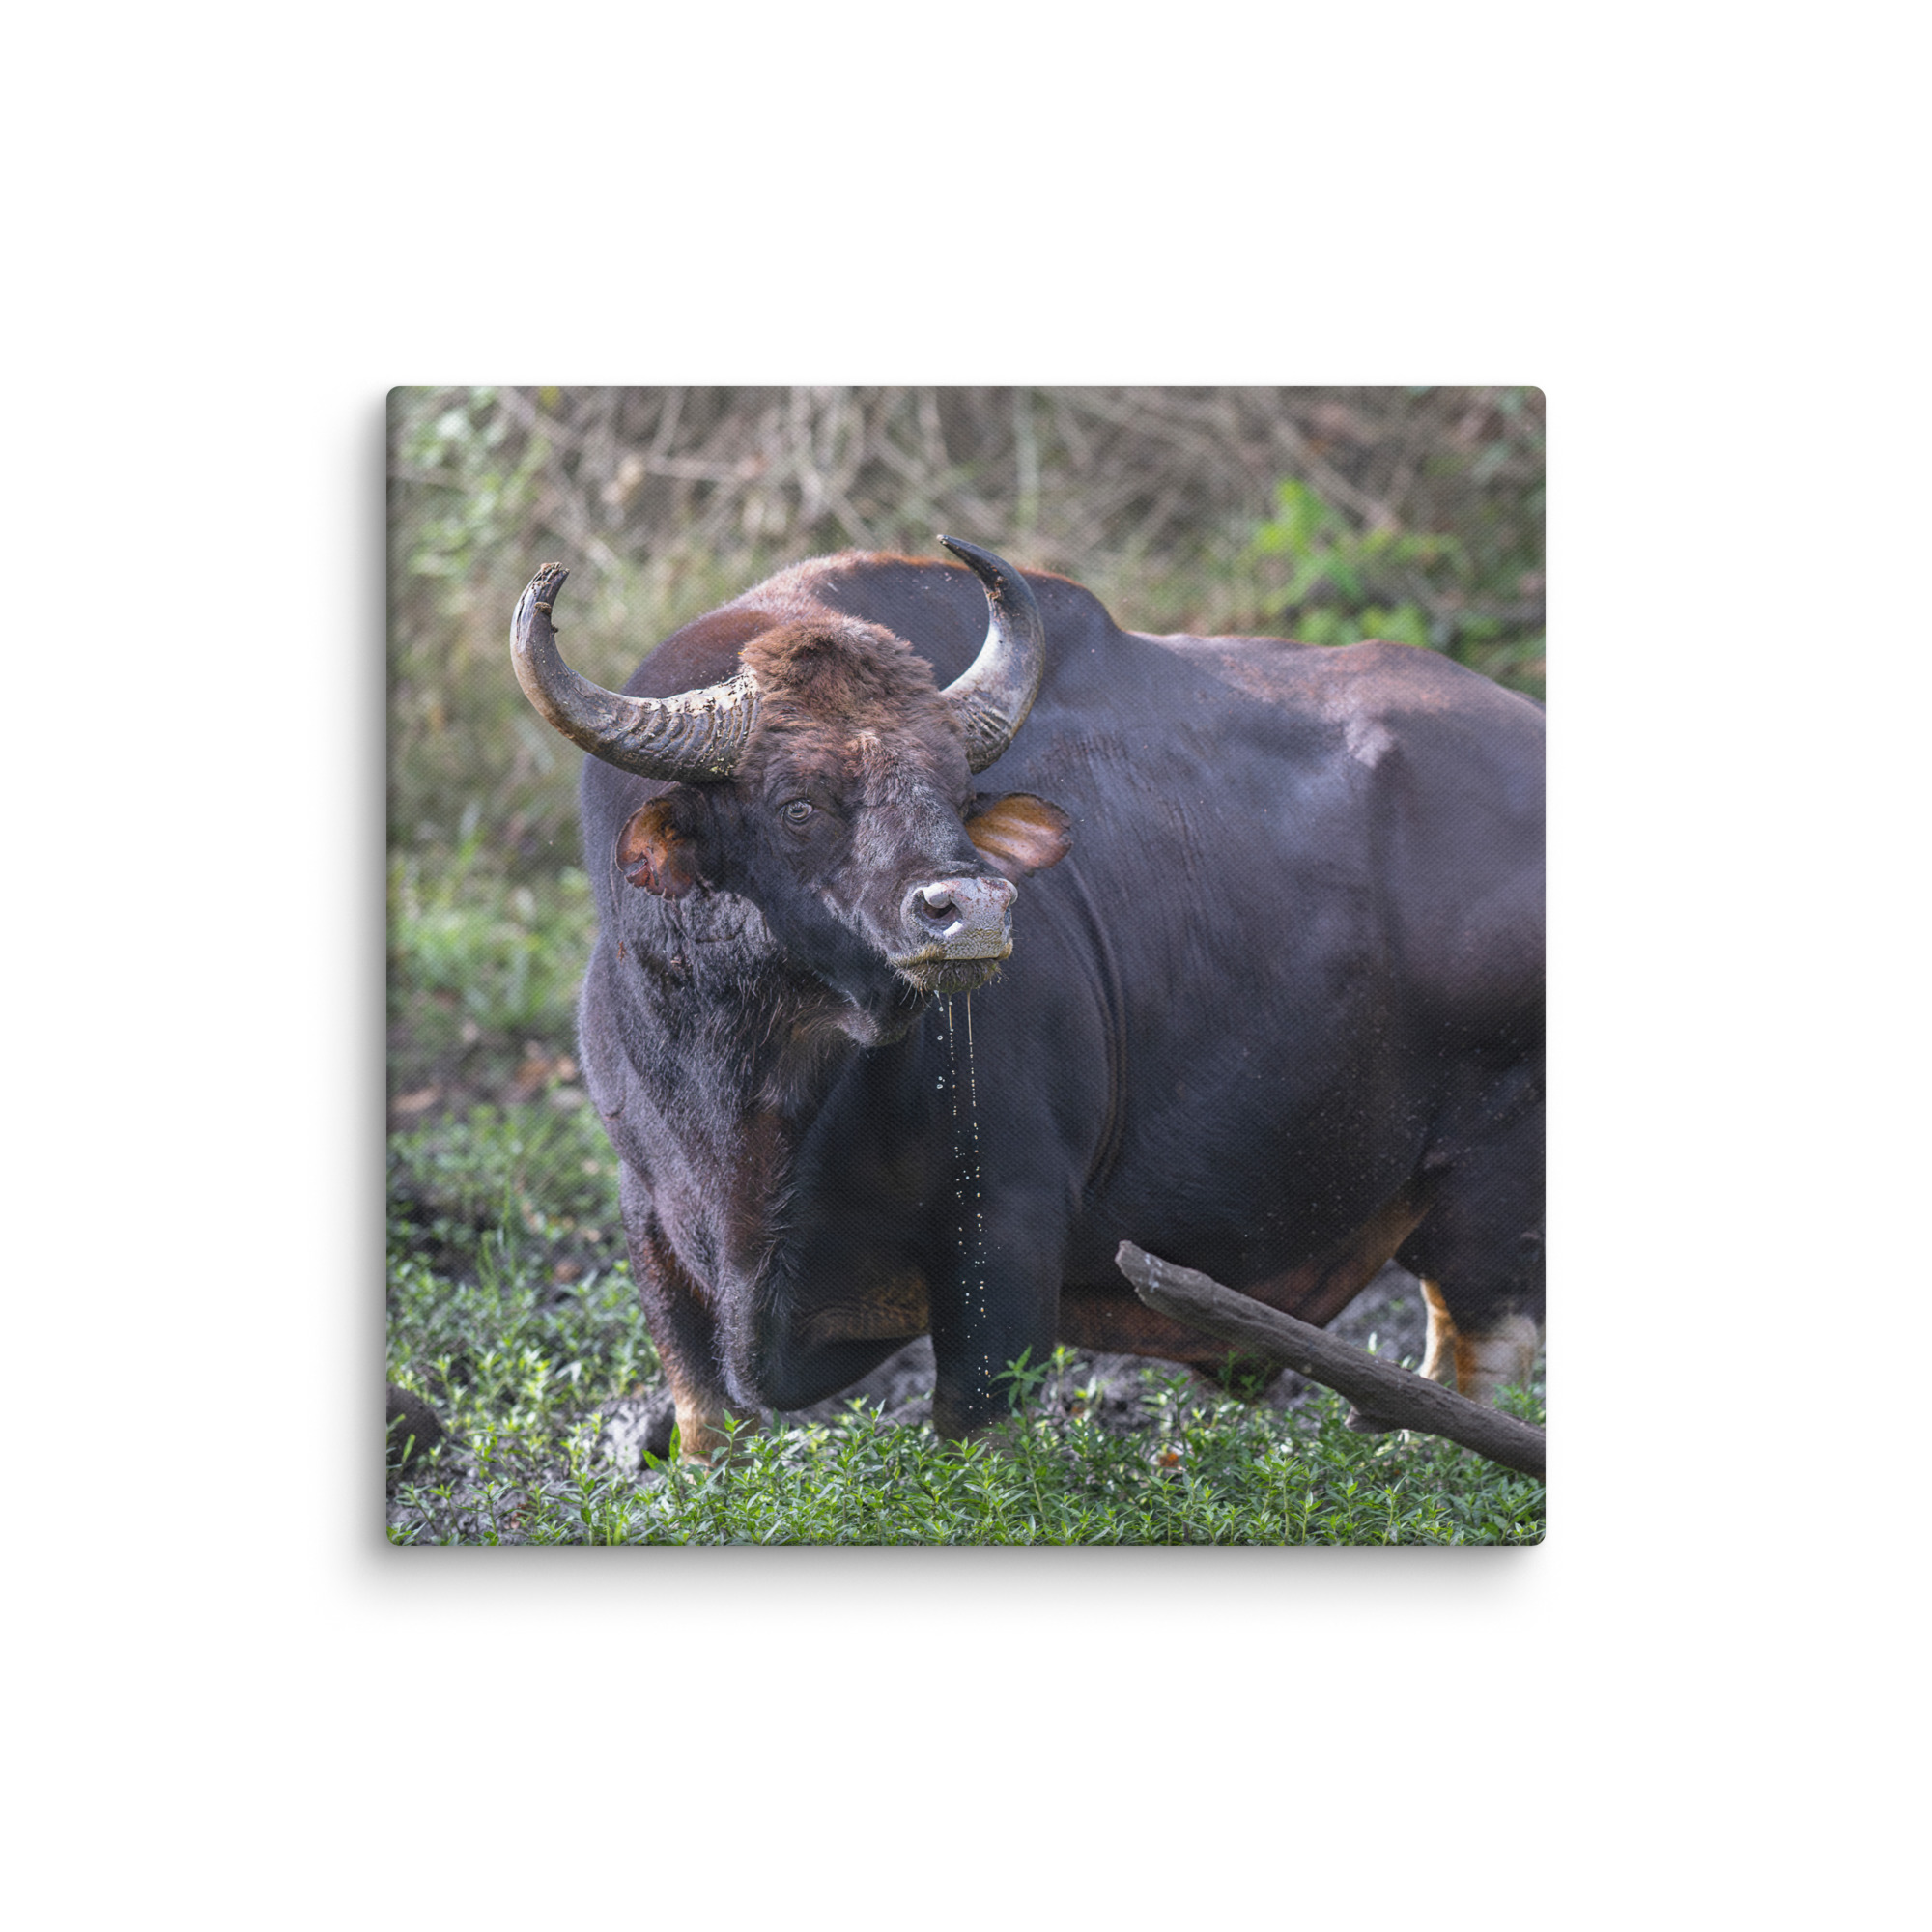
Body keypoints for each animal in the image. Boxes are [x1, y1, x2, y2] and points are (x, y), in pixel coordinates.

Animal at [511, 539, 1543, 1458]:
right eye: (797, 803)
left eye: (952, 788)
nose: (967, 911)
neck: (758, 1092)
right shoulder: (648, 1219)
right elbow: (704, 1420)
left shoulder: (1006, 1226)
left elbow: (977, 1429)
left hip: (1495, 1182)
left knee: (1484, 1350)